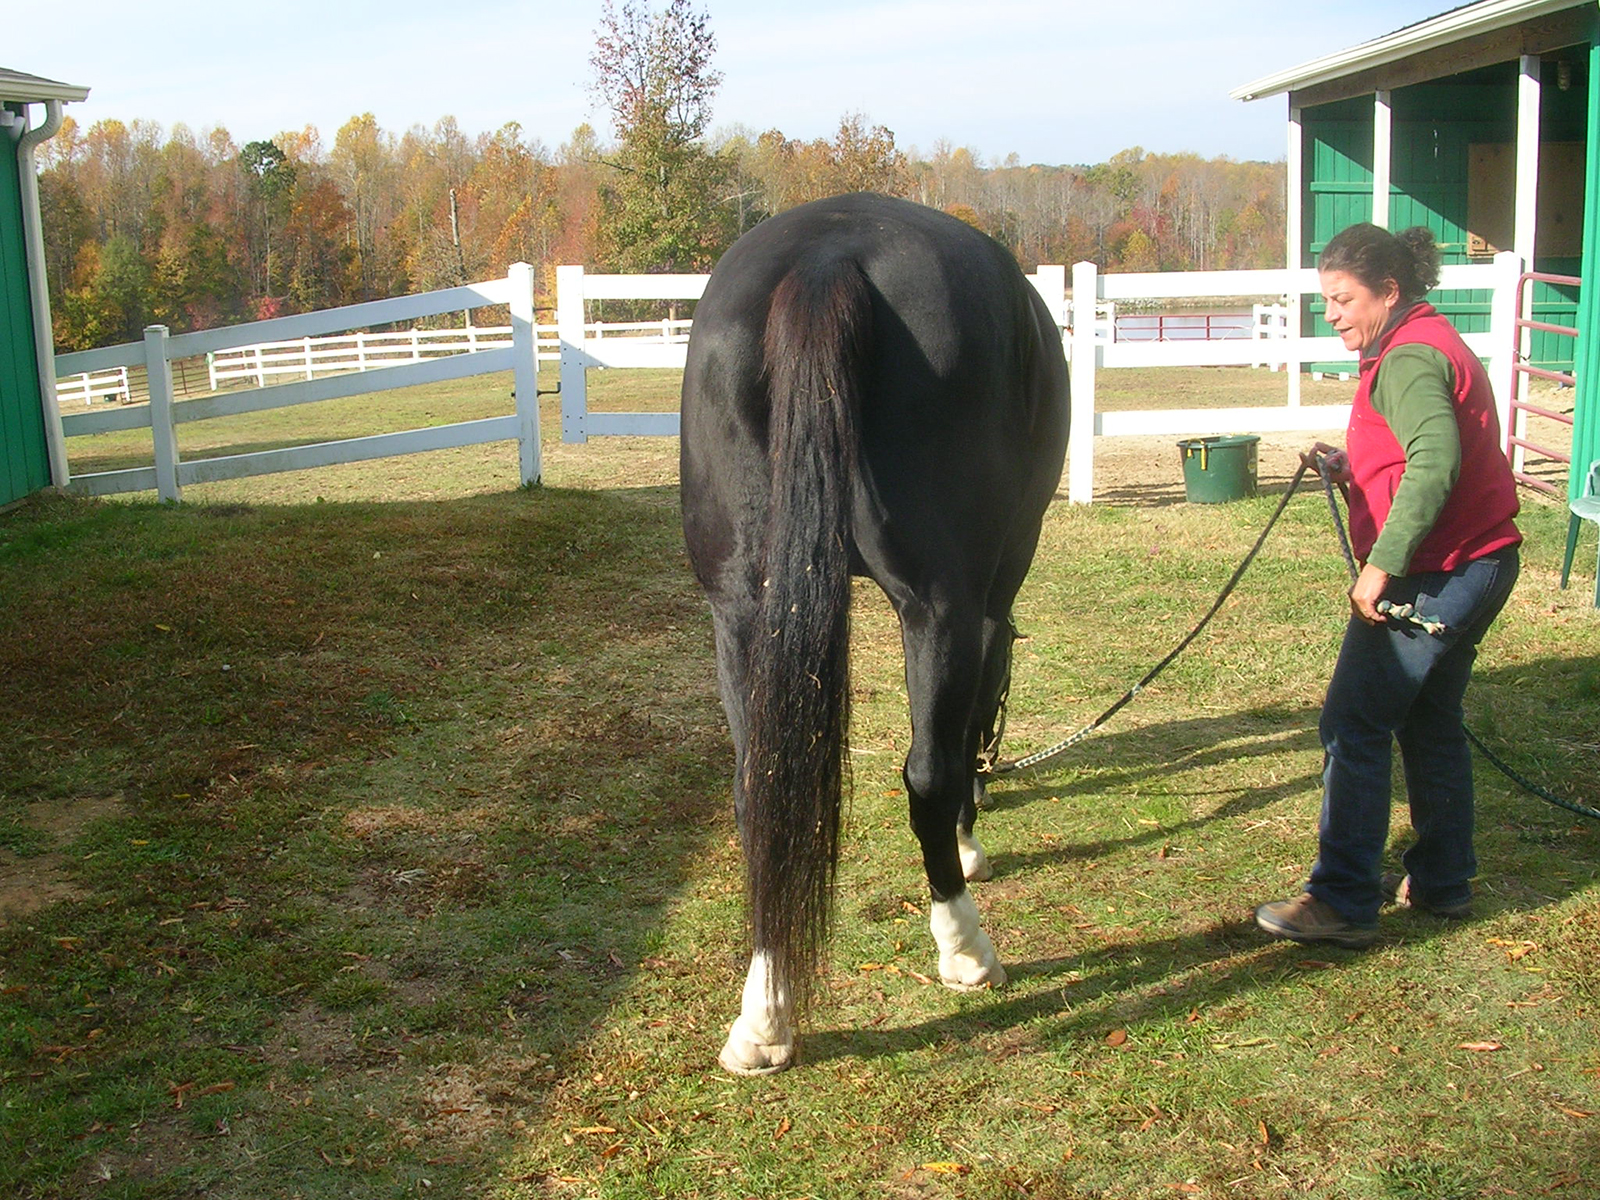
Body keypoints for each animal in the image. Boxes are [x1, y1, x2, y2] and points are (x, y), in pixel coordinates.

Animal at [679, 192, 1069, 1074]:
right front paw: (968, 843)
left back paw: (766, 1016)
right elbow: (956, 739)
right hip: (938, 603)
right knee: (927, 773)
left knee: (757, 793)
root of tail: (827, 258)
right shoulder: (987, 594)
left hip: (740, 609)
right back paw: (965, 948)